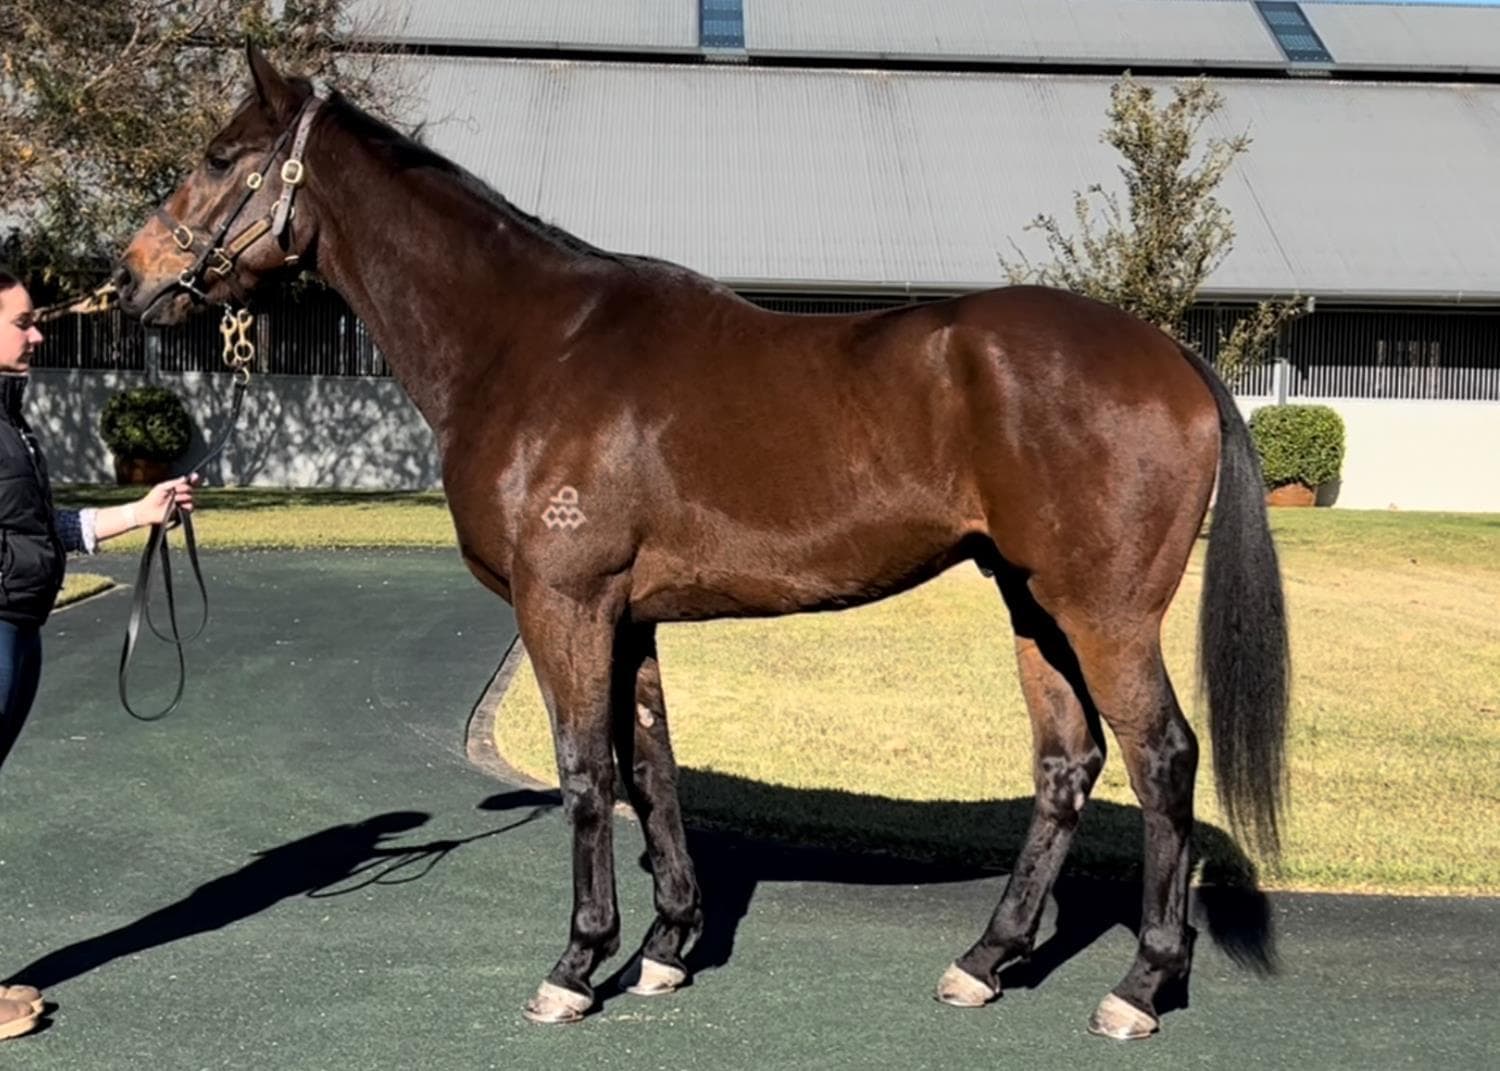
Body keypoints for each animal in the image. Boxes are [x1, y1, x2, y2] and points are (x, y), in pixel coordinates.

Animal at [116, 46, 1288, 1040]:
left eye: (218, 155)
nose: (130, 278)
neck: (532, 344)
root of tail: (1173, 358)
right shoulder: (626, 615)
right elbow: (653, 765)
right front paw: (668, 946)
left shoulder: (564, 602)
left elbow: (587, 771)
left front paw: (575, 964)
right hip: (1032, 601)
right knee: (1067, 762)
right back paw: (986, 960)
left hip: (1102, 609)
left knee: (1163, 758)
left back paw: (1141, 985)